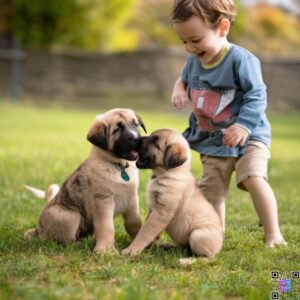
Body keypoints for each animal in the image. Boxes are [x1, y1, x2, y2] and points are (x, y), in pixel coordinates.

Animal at [24, 109, 146, 252]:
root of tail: (37, 230)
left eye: (135, 124)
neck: (118, 165)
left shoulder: (132, 198)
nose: (137, 139)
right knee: (60, 240)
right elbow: (106, 226)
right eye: (117, 129)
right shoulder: (103, 200)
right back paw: (80, 244)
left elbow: (134, 222)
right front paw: (105, 250)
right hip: (70, 216)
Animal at [121, 127, 223, 262]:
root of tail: (219, 246)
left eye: (155, 143)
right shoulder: (152, 209)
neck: (169, 173)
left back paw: (186, 261)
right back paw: (169, 247)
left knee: (207, 257)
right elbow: (149, 232)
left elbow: (144, 232)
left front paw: (131, 250)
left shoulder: (161, 213)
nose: (137, 139)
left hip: (198, 235)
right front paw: (151, 246)